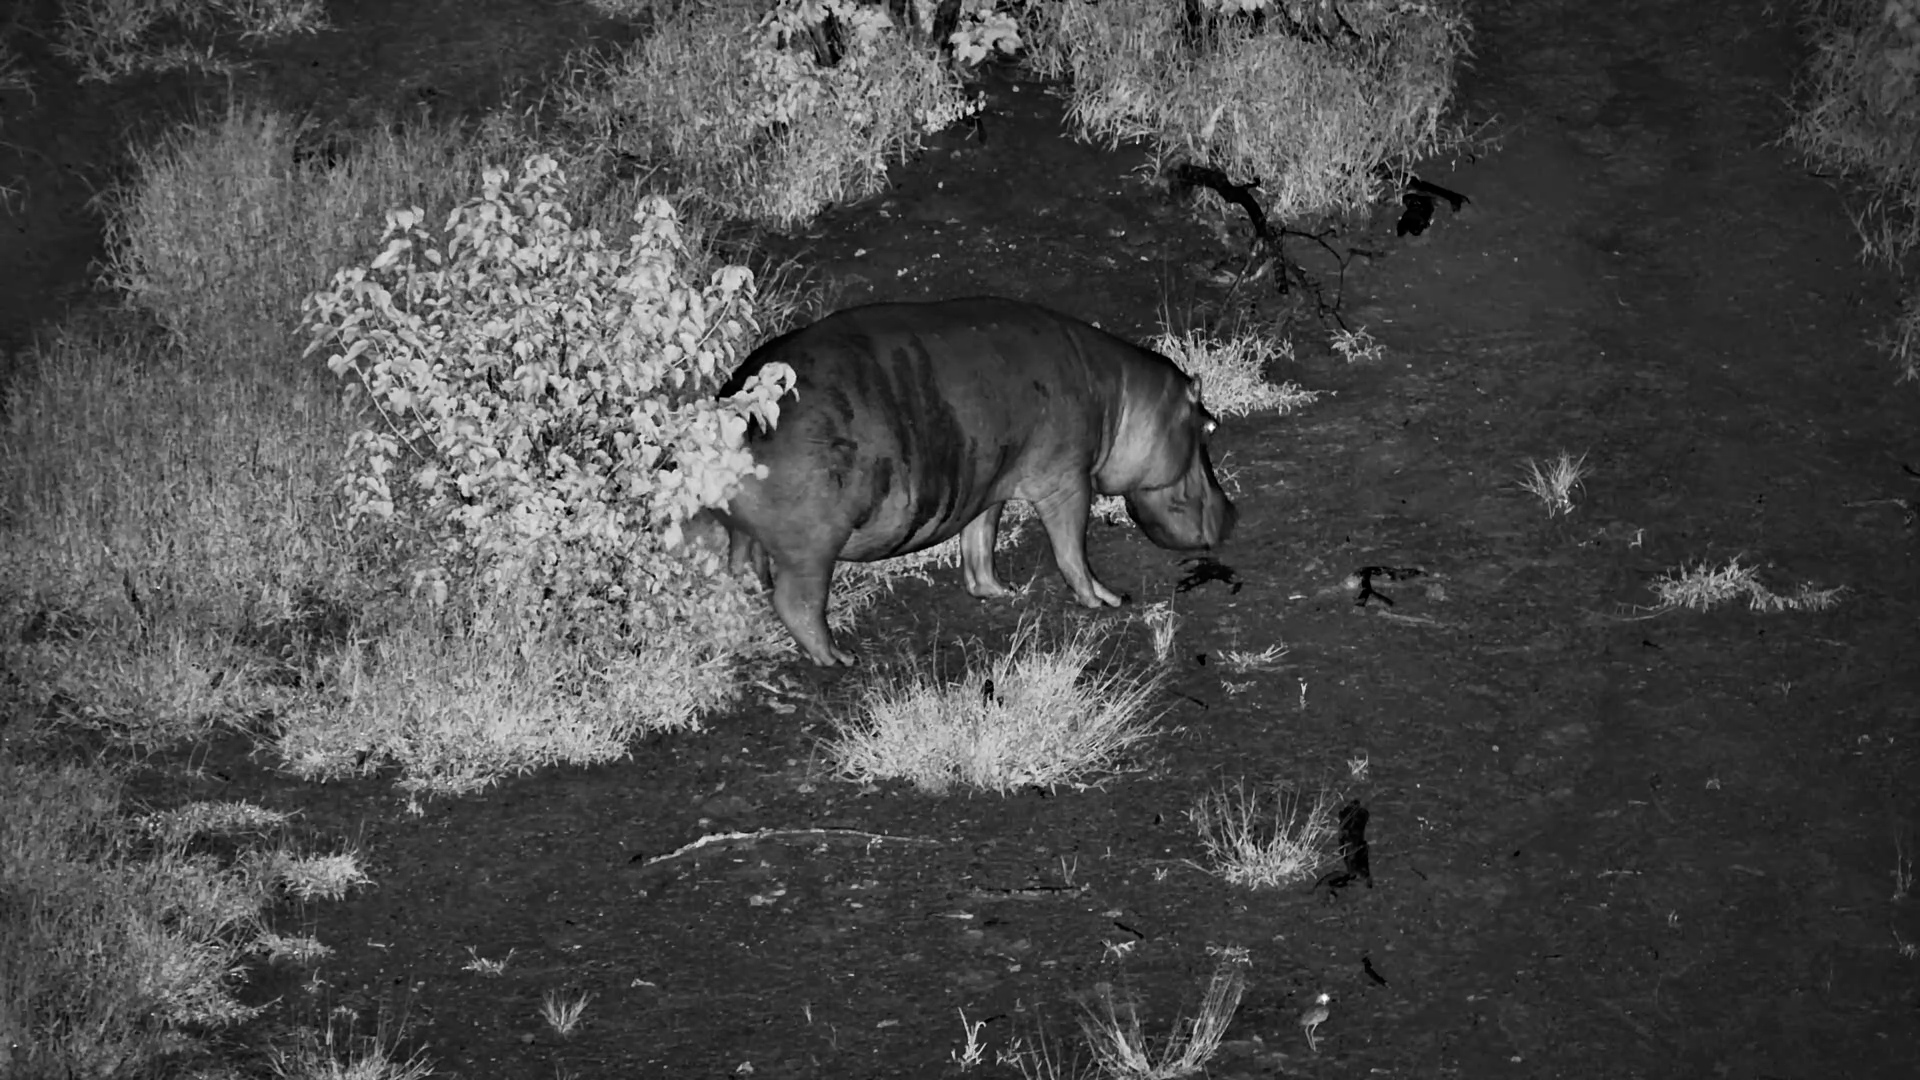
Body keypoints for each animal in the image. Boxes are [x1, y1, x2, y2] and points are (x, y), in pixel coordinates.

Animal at [714, 296, 1237, 666]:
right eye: (1211, 425)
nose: (1233, 511)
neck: (1124, 399)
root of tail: (738, 412)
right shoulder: (1069, 480)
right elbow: (1071, 548)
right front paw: (1107, 599)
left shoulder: (989, 485)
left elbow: (980, 541)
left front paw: (1000, 592)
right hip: (813, 546)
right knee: (797, 600)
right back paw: (839, 657)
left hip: (750, 532)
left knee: (742, 563)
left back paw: (749, 599)